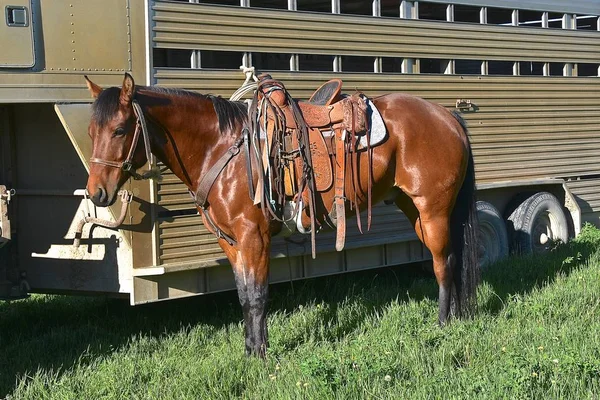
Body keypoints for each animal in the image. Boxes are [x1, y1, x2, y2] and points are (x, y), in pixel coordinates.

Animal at [84, 72, 480, 356]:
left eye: (120, 129)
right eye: (91, 131)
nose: (96, 193)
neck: (221, 148)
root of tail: (447, 115)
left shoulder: (253, 236)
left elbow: (258, 296)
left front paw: (261, 355)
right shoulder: (231, 242)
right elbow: (244, 295)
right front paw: (249, 351)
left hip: (433, 209)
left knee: (442, 264)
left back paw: (442, 324)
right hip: (415, 209)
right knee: (451, 258)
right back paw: (456, 317)